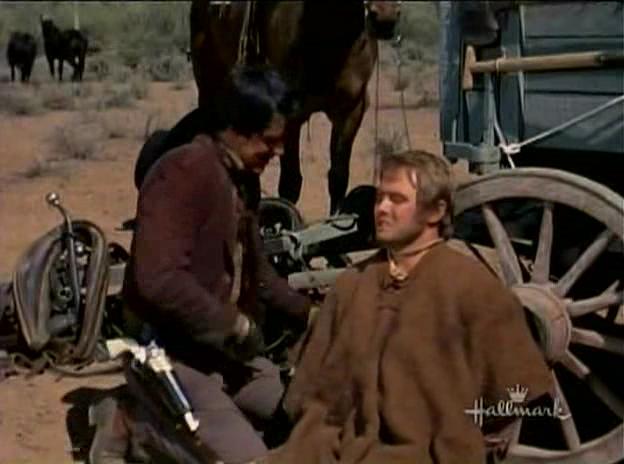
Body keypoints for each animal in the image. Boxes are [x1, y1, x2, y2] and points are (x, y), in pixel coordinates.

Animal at [190, 0, 401, 213]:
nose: (385, 17)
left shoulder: (351, 110)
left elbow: (338, 176)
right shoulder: (289, 118)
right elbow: (290, 182)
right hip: (208, 84)